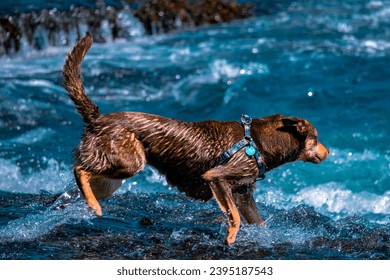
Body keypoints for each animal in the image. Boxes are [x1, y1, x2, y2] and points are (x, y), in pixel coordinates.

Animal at [62, 31, 328, 244]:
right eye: (316, 138)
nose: (328, 153)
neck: (257, 142)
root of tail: (96, 119)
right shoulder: (217, 179)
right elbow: (235, 218)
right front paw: (230, 239)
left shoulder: (243, 194)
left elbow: (257, 221)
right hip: (129, 163)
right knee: (80, 170)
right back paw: (93, 206)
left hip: (111, 180)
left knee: (80, 183)